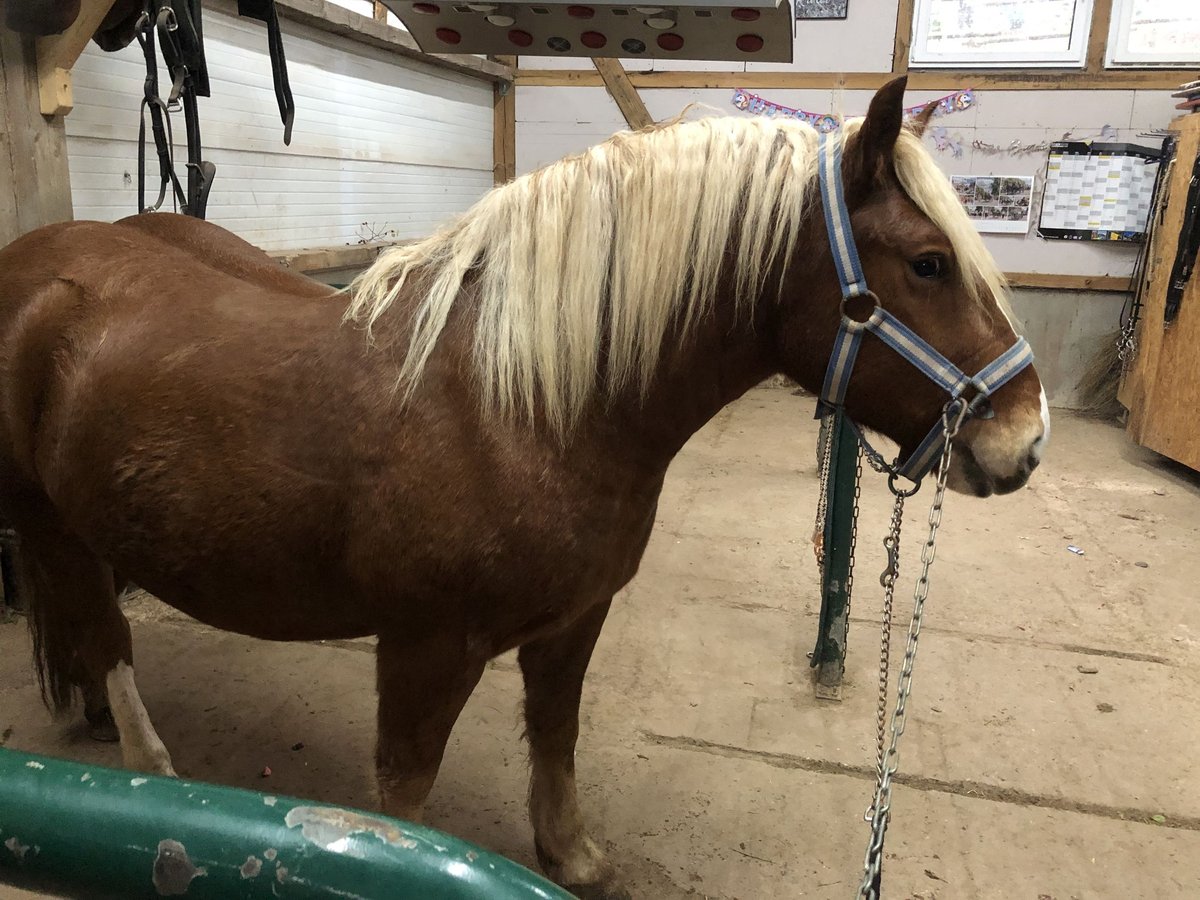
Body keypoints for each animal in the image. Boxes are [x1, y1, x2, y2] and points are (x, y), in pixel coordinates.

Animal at [0, 77, 1047, 898]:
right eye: (928, 263)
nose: (1025, 443)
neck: (523, 406)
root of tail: (34, 263)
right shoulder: (424, 649)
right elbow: (404, 797)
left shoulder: (575, 619)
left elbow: (555, 732)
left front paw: (570, 855)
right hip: (50, 524)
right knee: (107, 635)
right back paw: (148, 771)